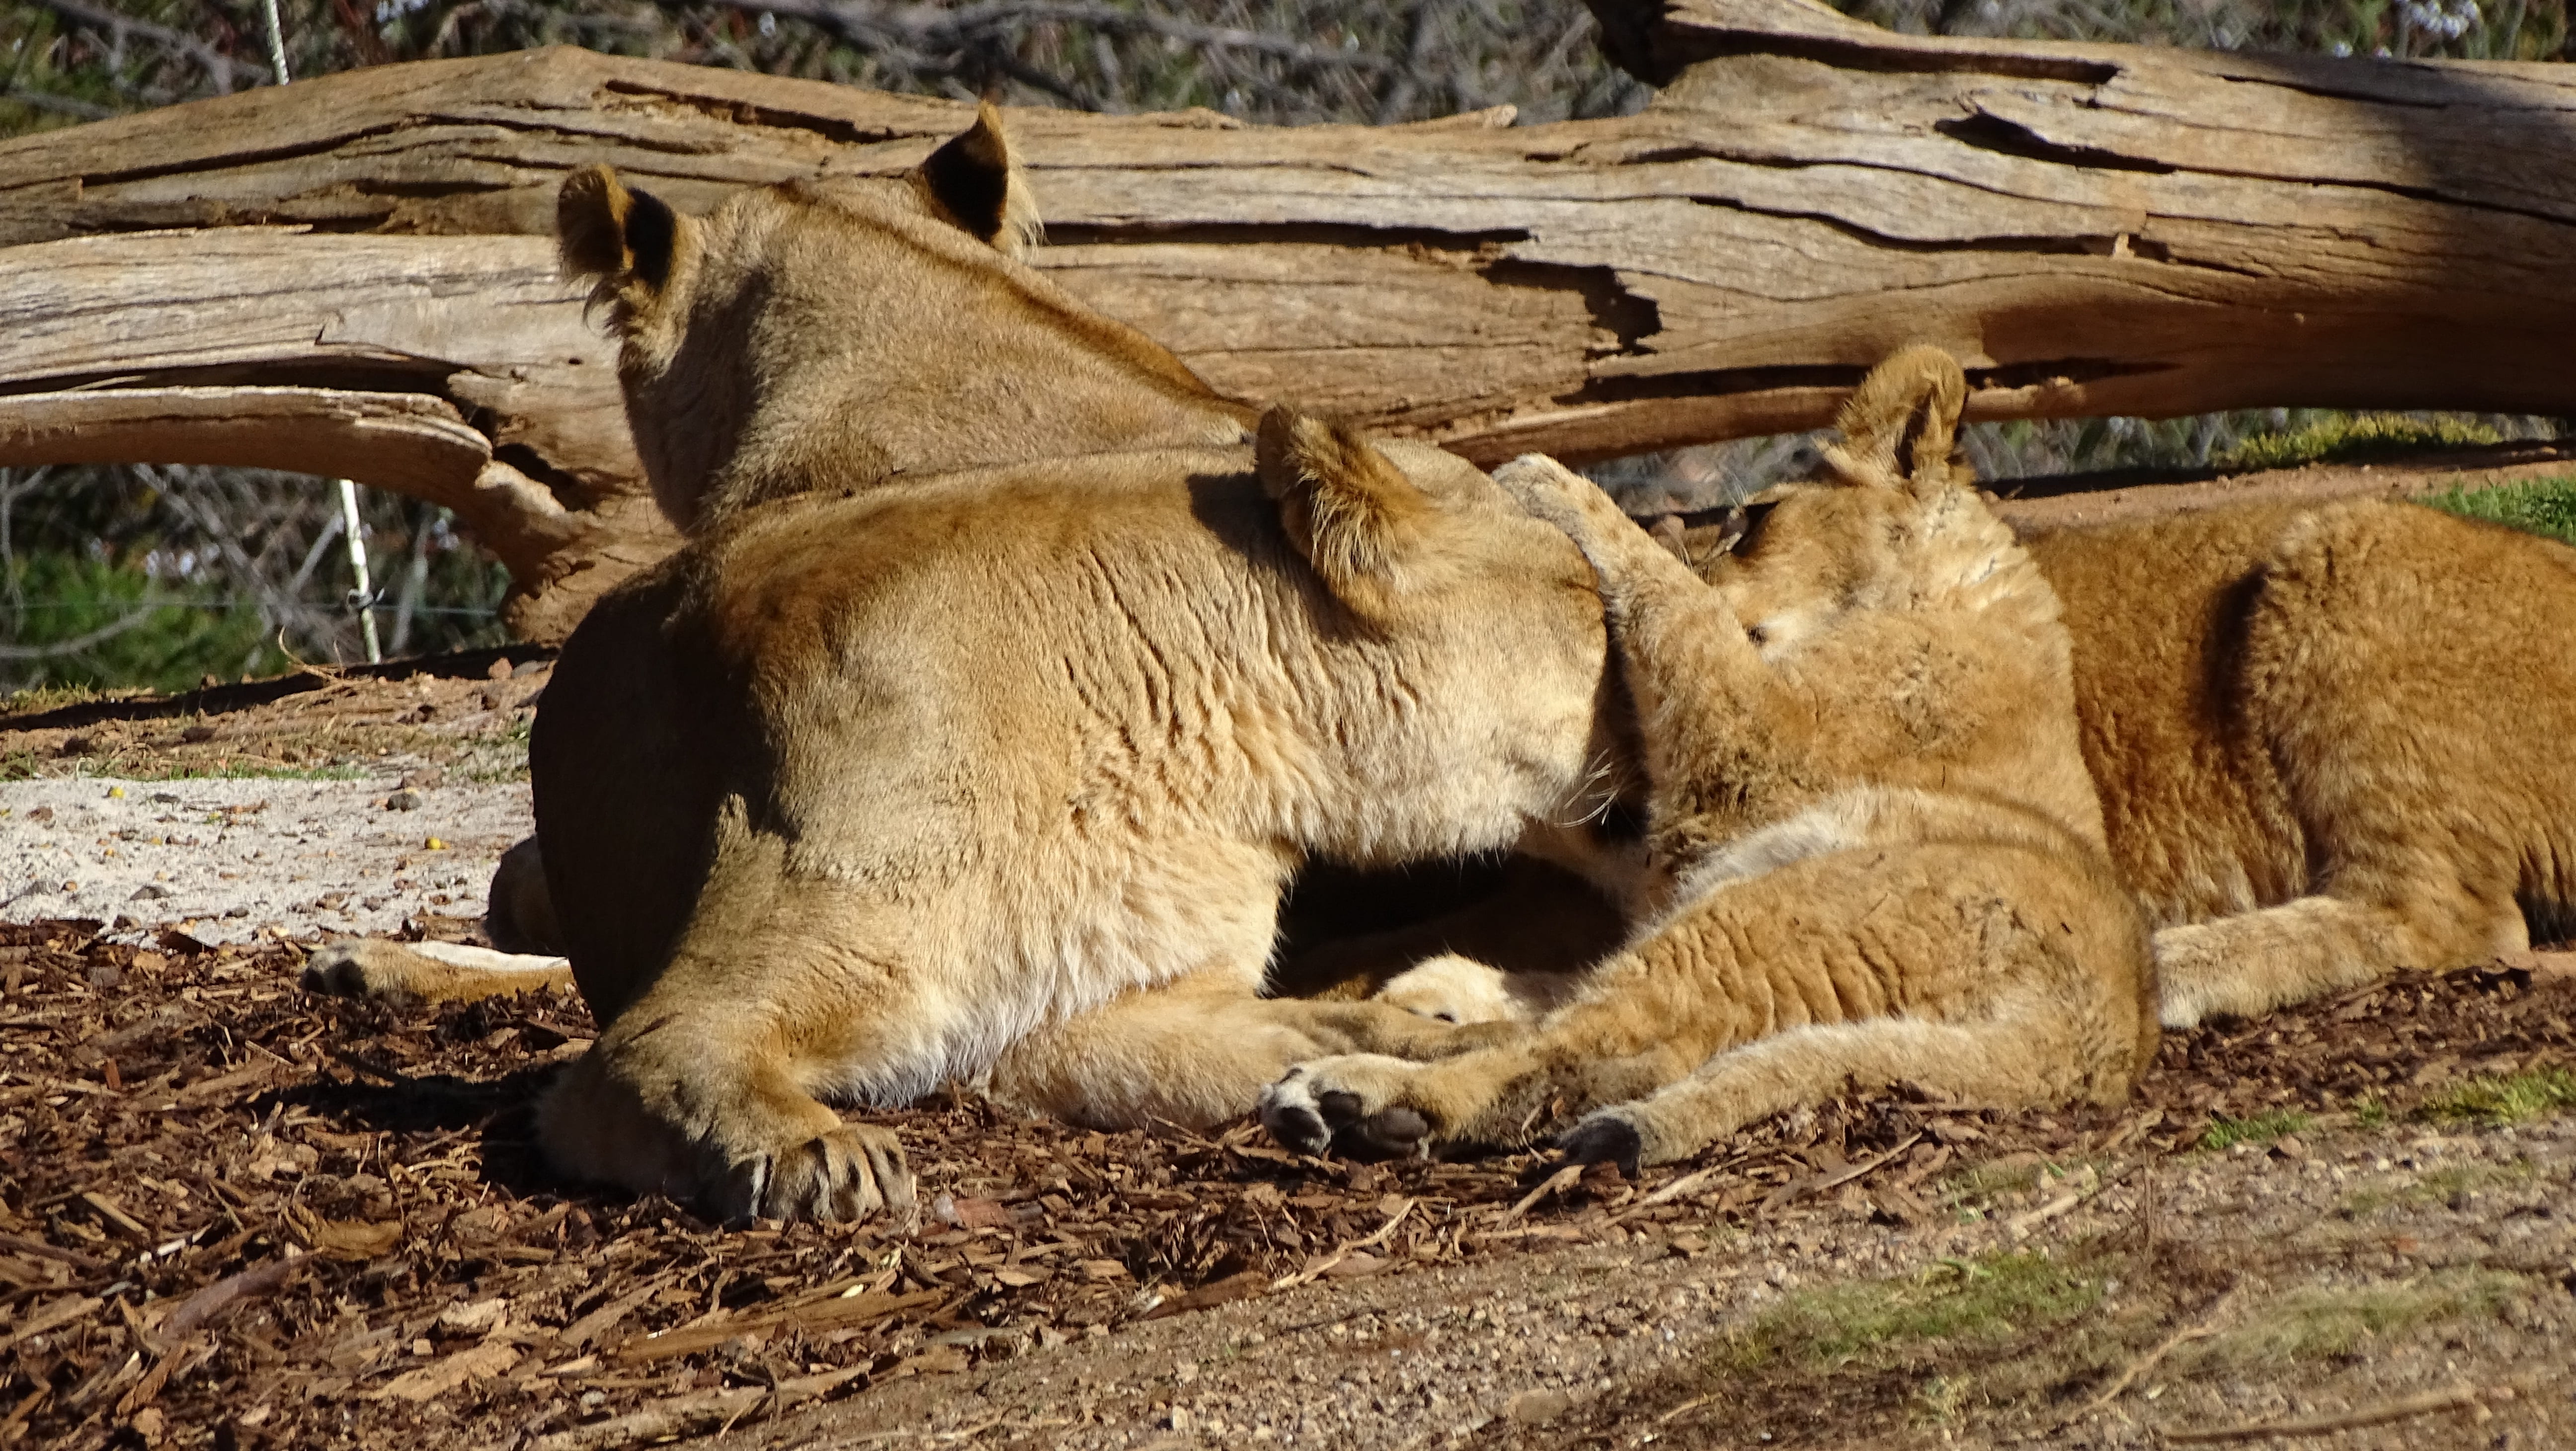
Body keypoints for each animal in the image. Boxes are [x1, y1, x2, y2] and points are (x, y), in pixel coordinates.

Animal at [1262, 349, 2157, 1172]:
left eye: (1754, 520)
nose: (1708, 552)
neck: (1960, 593)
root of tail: (2100, 1043)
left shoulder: (1759, 745)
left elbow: (1678, 611)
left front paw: (1552, 484)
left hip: (1762, 917)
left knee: (1572, 1055)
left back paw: (1357, 1097)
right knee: (1612, 1038)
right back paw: (1436, 1000)